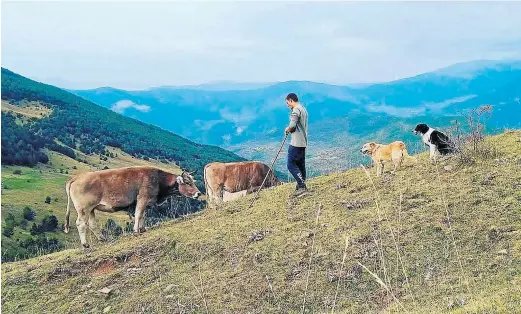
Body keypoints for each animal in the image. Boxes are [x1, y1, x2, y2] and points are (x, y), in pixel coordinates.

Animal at [64, 167, 201, 248]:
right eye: (187, 182)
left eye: (192, 181)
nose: (198, 193)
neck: (157, 179)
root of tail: (76, 177)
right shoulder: (142, 198)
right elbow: (139, 214)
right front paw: (136, 230)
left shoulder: (144, 201)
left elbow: (142, 215)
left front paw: (142, 229)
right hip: (83, 209)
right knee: (81, 224)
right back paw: (85, 244)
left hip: (91, 209)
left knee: (92, 224)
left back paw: (103, 239)